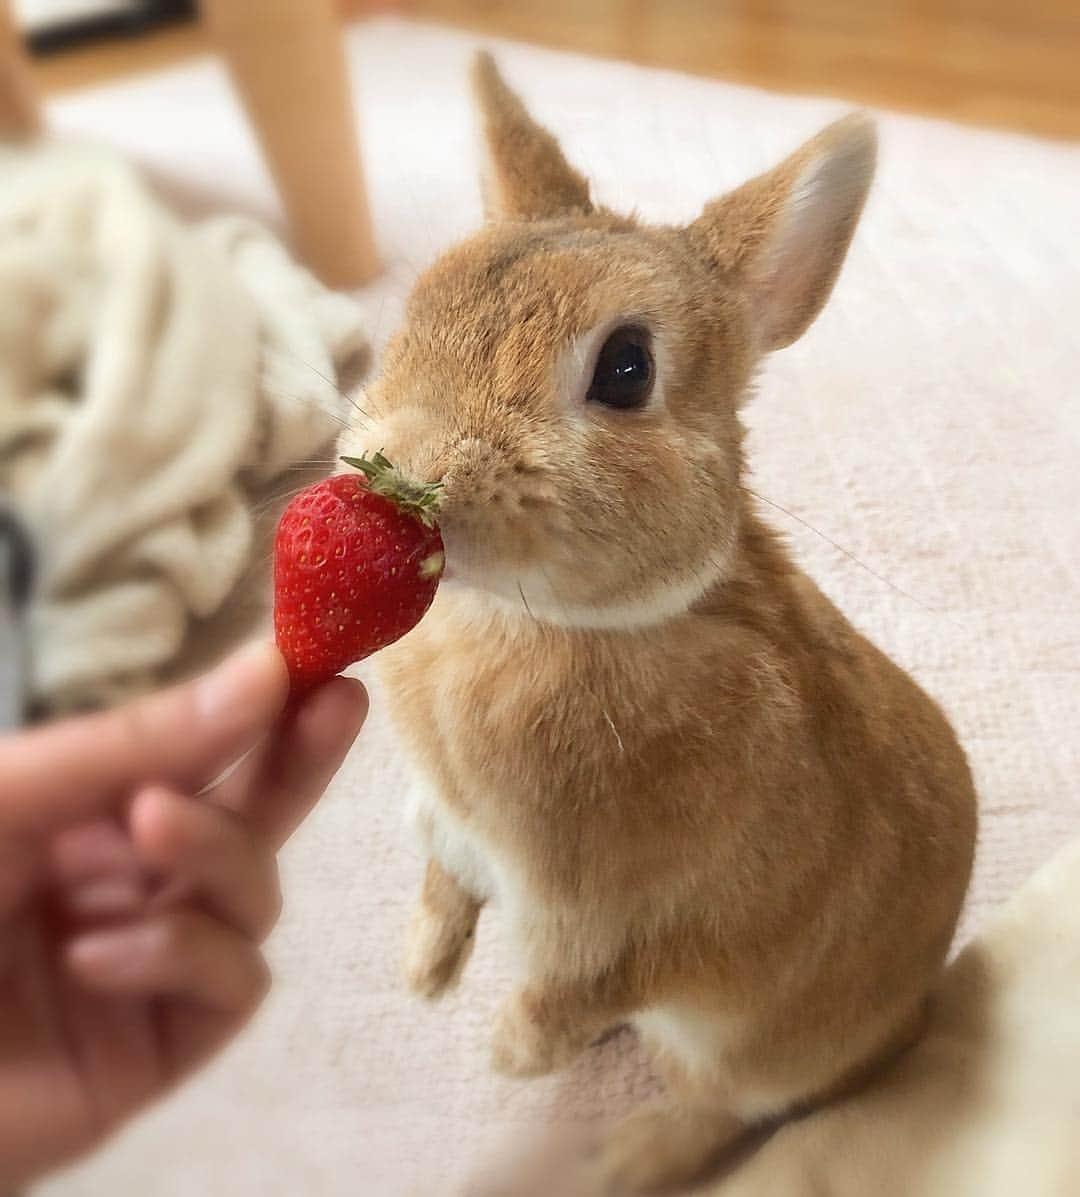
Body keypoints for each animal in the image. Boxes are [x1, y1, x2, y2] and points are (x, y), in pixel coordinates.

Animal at [340, 51, 981, 1192]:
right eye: (418, 307)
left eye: (627, 368)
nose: (404, 471)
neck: (542, 624)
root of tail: (908, 1019)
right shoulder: (452, 828)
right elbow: (446, 882)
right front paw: (424, 974)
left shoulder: (636, 921)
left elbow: (587, 983)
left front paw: (510, 1053)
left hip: (746, 1043)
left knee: (723, 1104)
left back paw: (621, 1158)